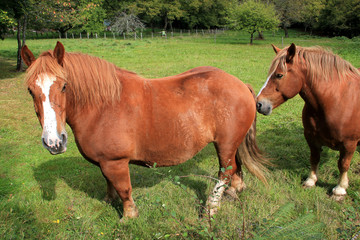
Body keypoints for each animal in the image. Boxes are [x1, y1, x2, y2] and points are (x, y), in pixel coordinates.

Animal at [19, 42, 268, 218]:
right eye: (31, 90)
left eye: (64, 86)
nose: (54, 142)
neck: (102, 107)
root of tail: (240, 84)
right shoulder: (105, 162)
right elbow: (108, 183)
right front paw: (108, 201)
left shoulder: (116, 162)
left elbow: (124, 189)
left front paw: (129, 215)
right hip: (231, 144)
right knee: (235, 167)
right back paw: (234, 191)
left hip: (225, 144)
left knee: (225, 171)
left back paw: (211, 207)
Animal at [258, 43, 360, 201]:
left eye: (279, 75)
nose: (259, 104)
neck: (336, 100)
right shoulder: (311, 138)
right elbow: (314, 158)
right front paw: (311, 180)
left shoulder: (349, 143)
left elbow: (343, 164)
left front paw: (340, 189)